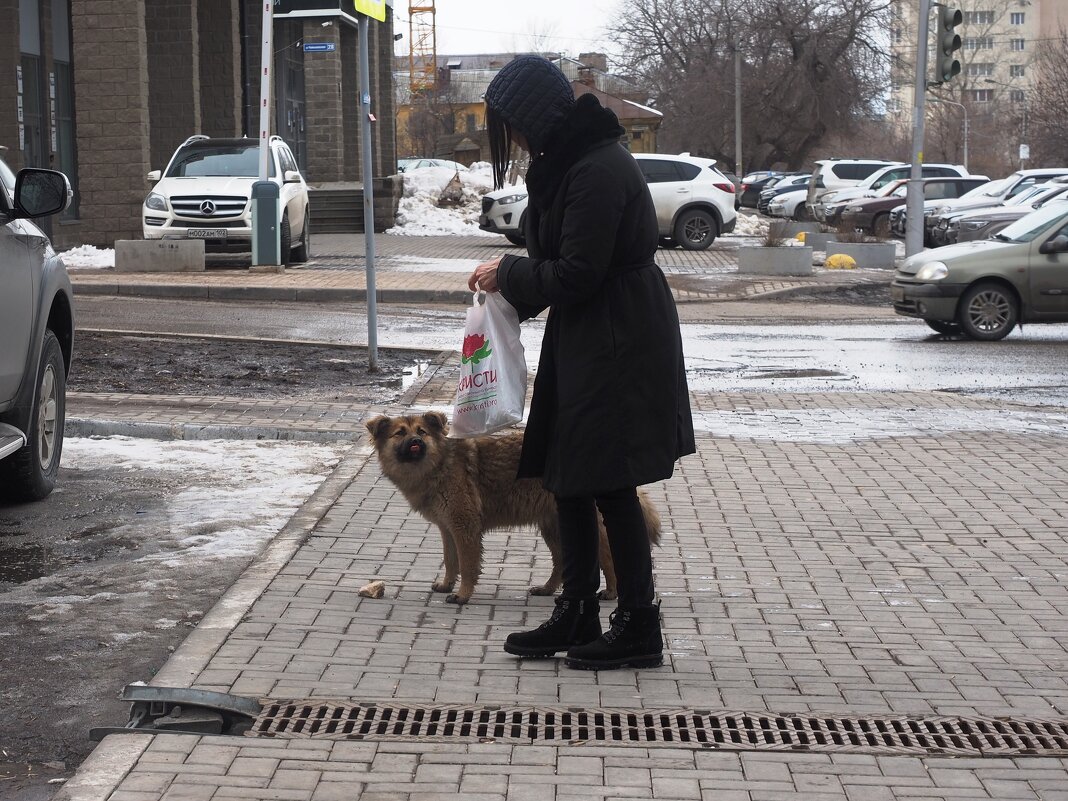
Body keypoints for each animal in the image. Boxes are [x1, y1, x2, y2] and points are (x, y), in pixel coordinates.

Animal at [371, 414, 662, 606]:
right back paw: (547, 589)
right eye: (400, 433)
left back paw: (611, 592)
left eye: (422, 431)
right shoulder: (447, 528)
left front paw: (463, 594)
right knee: (561, 563)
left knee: (608, 557)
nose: (416, 441)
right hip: (554, 527)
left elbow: (467, 564)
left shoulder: (464, 526)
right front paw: (446, 584)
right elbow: (451, 561)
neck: (439, 463)